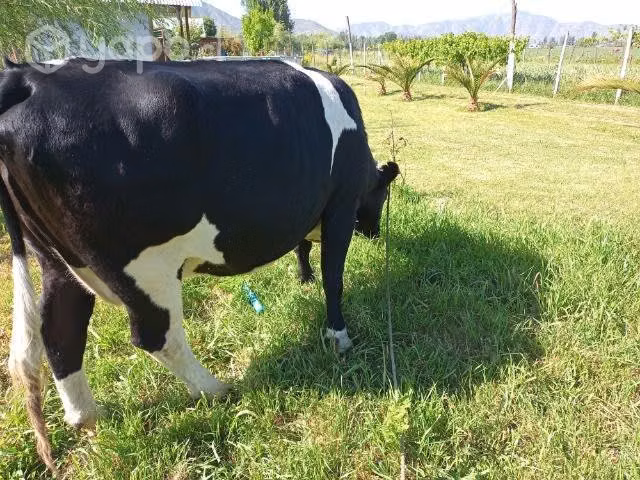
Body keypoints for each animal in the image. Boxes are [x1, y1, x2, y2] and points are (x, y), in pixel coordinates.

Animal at [0, 57, 399, 472]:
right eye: (383, 195)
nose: (375, 233)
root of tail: (30, 77)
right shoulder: (340, 204)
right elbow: (333, 277)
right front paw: (338, 335)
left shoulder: (308, 207)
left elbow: (302, 247)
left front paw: (304, 278)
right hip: (145, 267)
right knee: (156, 336)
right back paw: (214, 389)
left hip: (56, 261)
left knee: (61, 332)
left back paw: (89, 418)